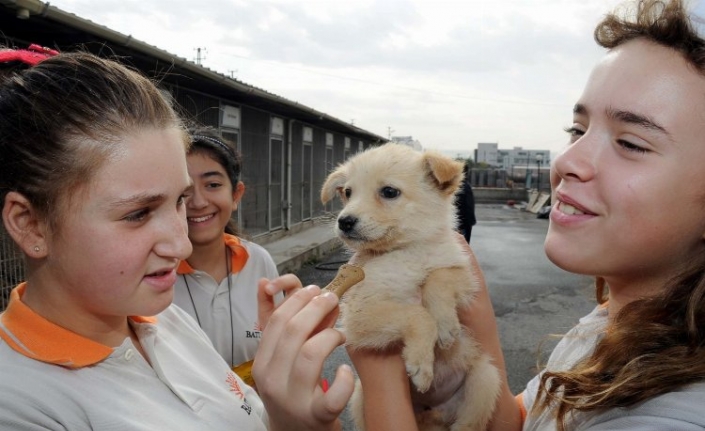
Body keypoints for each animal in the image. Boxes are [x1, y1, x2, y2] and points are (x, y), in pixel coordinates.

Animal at [322, 144, 498, 431]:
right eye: (348, 192)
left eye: (389, 192)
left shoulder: (465, 274)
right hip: (360, 396)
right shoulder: (359, 315)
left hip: (486, 378)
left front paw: (446, 325)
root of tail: (432, 414)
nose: (344, 222)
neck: (407, 251)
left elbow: (438, 278)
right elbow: (417, 315)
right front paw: (421, 364)